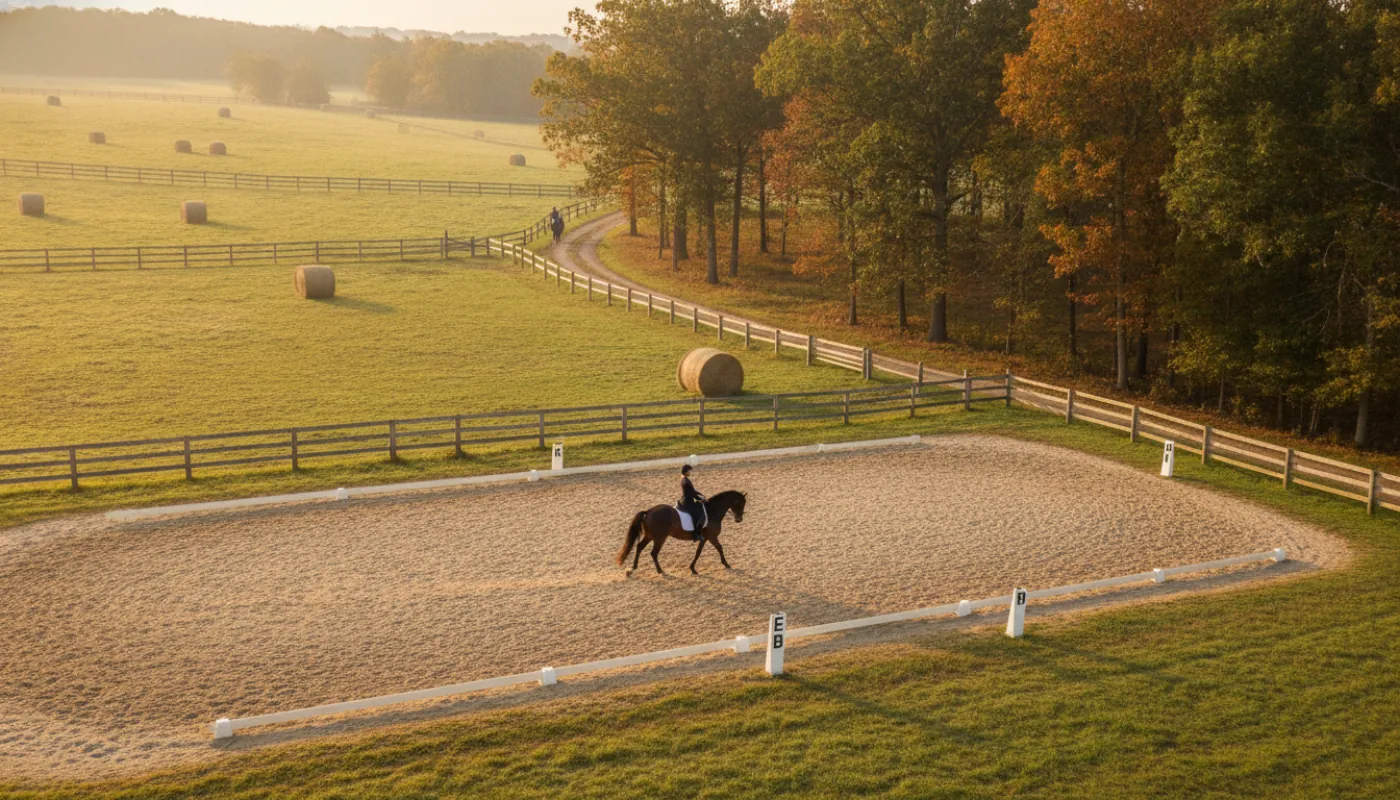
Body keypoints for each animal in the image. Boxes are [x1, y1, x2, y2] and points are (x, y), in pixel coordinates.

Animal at [616, 490, 747, 576]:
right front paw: (726, 564)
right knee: (653, 553)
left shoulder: (705, 538)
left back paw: (632, 568)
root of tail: (648, 511)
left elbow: (699, 552)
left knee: (639, 547)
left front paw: (693, 568)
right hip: (659, 538)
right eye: (741, 503)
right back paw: (660, 571)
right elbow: (718, 548)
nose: (739, 519)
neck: (712, 511)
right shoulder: (711, 537)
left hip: (650, 536)